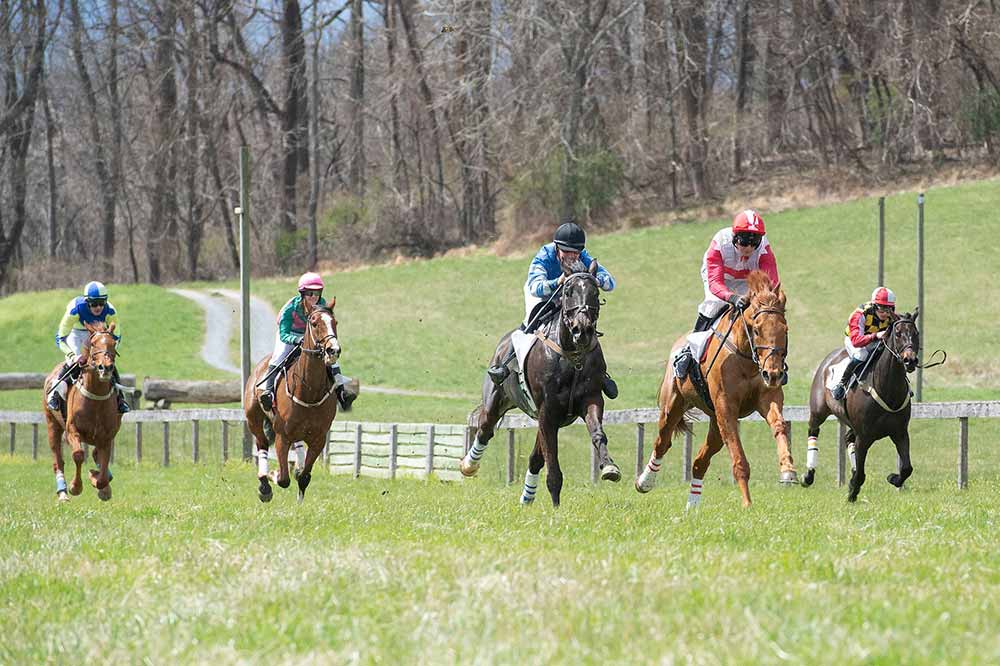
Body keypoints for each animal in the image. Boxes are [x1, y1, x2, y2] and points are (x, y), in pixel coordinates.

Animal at [43, 320, 122, 498]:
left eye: (113, 343)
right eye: (93, 344)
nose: (105, 367)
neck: (96, 398)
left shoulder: (107, 437)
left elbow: (103, 470)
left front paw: (100, 484)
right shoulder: (72, 430)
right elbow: (78, 455)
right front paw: (75, 486)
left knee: (96, 456)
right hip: (52, 424)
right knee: (58, 460)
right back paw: (63, 492)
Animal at [244, 300, 342, 498]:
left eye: (334, 322)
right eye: (314, 323)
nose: (333, 350)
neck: (309, 390)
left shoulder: (319, 438)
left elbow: (303, 478)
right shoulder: (282, 436)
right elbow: (283, 479)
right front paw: (273, 474)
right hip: (253, 418)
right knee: (262, 443)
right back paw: (264, 485)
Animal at [458, 260, 616, 504]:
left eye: (595, 292)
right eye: (568, 292)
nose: (582, 330)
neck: (572, 357)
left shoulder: (590, 400)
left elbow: (598, 434)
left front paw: (609, 467)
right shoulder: (547, 411)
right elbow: (553, 468)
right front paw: (556, 509)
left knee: (534, 458)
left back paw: (526, 499)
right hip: (497, 399)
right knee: (485, 428)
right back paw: (468, 465)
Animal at [636, 268, 792, 504]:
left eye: (785, 329)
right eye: (756, 330)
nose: (773, 374)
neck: (745, 357)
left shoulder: (767, 397)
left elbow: (779, 425)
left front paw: (787, 468)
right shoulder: (726, 408)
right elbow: (739, 461)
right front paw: (747, 503)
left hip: (715, 422)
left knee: (699, 462)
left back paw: (692, 507)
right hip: (673, 405)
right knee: (662, 442)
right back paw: (644, 482)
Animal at [804, 308, 920, 500]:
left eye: (916, 333)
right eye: (897, 333)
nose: (910, 360)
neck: (887, 389)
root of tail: (828, 360)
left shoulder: (900, 432)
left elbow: (906, 468)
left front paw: (893, 478)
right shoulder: (864, 436)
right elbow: (860, 474)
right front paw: (852, 490)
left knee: (848, 438)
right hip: (818, 411)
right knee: (813, 431)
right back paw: (808, 475)